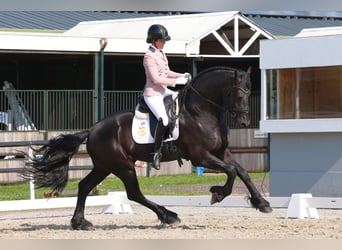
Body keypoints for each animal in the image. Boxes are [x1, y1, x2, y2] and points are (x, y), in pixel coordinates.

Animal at [25, 66, 272, 230]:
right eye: (238, 92)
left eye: (249, 91)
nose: (244, 122)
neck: (200, 112)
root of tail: (93, 129)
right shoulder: (200, 157)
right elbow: (231, 172)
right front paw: (217, 194)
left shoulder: (222, 153)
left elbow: (242, 172)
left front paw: (262, 203)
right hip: (123, 166)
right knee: (134, 193)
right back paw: (169, 216)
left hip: (105, 166)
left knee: (85, 186)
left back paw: (80, 222)